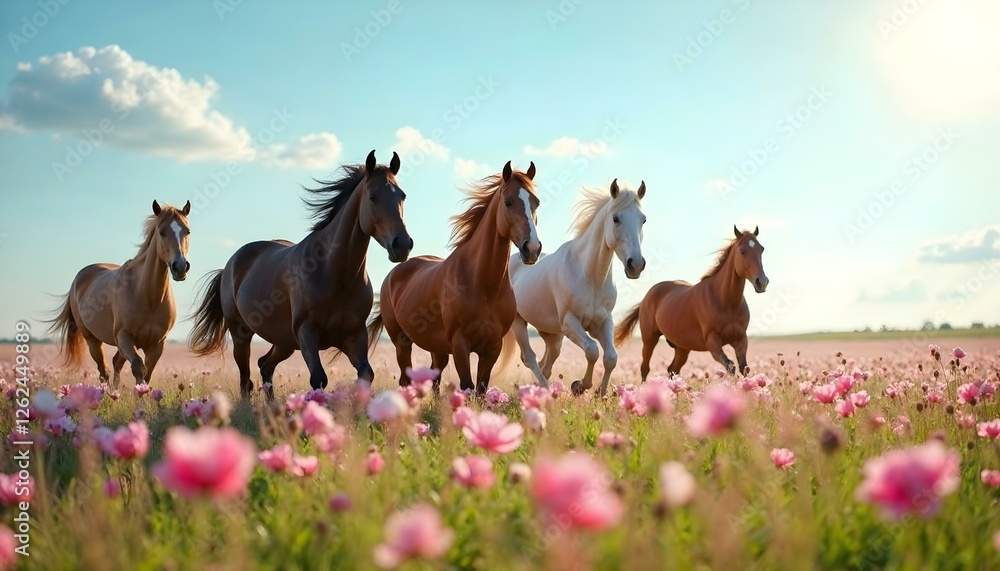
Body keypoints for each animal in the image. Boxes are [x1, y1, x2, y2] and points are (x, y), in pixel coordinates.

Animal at [48, 201, 192, 385]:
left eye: (187, 231)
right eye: (162, 232)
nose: (180, 267)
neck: (148, 297)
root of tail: (79, 278)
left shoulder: (157, 344)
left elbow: (147, 375)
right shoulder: (124, 337)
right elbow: (139, 368)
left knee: (116, 362)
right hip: (93, 340)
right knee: (104, 371)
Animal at [188, 151, 412, 398]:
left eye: (402, 196)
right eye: (373, 197)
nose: (402, 245)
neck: (334, 274)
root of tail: (230, 265)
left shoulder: (354, 336)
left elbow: (366, 374)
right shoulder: (306, 333)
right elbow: (318, 379)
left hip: (284, 342)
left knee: (265, 366)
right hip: (241, 334)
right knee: (246, 379)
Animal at [367, 160, 541, 394]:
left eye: (536, 202)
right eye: (508, 202)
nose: (532, 249)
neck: (484, 285)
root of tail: (393, 275)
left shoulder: (492, 347)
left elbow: (481, 390)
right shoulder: (460, 344)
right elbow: (467, 386)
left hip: (437, 348)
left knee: (435, 378)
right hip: (401, 342)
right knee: (405, 379)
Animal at [494, 179, 647, 396]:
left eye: (643, 220)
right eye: (616, 218)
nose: (636, 265)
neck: (590, 276)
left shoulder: (603, 322)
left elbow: (611, 357)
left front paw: (600, 393)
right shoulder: (570, 323)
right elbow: (592, 350)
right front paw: (580, 386)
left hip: (552, 335)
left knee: (547, 362)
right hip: (519, 323)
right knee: (530, 358)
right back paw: (544, 391)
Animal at [614, 226, 768, 381]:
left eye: (761, 249)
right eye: (742, 251)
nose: (762, 282)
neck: (726, 302)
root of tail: (646, 297)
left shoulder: (741, 339)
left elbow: (744, 368)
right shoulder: (712, 341)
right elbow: (730, 366)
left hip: (682, 347)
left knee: (672, 369)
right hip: (649, 339)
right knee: (645, 368)